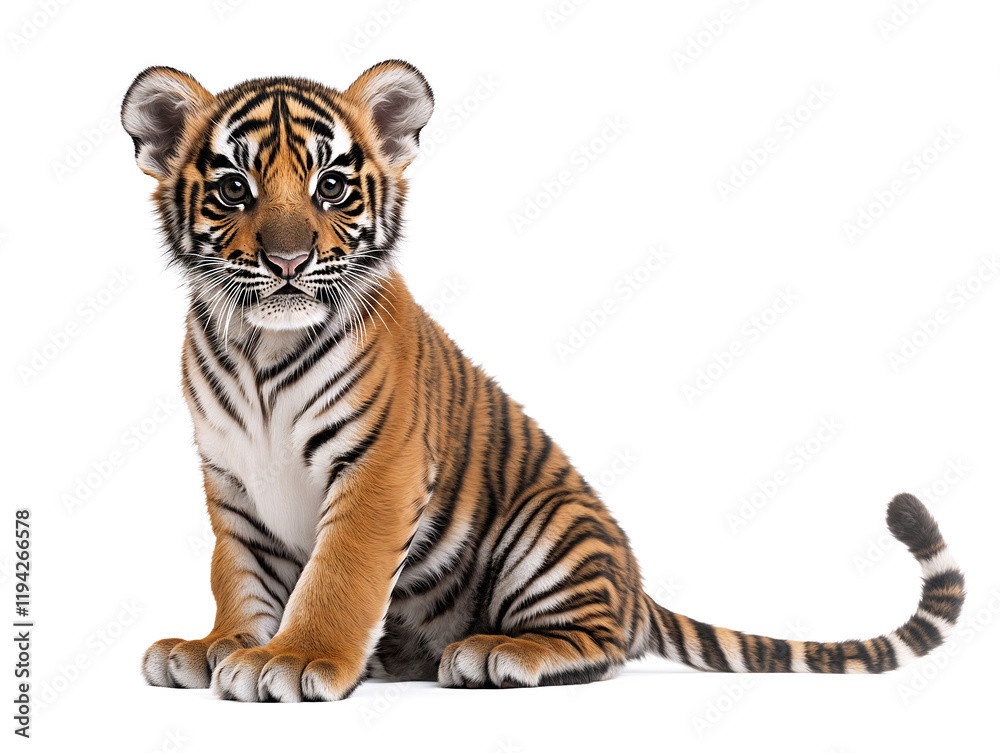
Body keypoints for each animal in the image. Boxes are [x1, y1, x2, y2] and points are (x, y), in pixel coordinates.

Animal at [122, 61, 966, 702]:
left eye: (331, 185)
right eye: (235, 188)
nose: (289, 261)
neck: (257, 347)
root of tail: (635, 584)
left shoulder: (379, 470)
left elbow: (339, 575)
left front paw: (296, 660)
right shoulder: (232, 478)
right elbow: (238, 573)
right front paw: (218, 645)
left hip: (548, 524)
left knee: (603, 641)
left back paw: (496, 652)